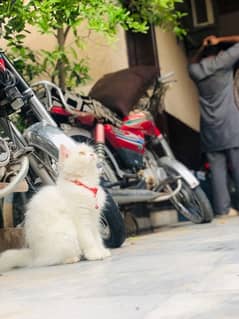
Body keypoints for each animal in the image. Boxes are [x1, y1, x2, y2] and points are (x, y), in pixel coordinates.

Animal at [0, 144, 111, 274]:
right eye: (82, 153)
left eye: (91, 151)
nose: (93, 155)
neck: (86, 185)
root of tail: (35, 255)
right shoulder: (82, 222)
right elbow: (89, 240)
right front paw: (94, 254)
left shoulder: (94, 220)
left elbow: (97, 239)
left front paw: (102, 251)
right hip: (66, 235)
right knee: (55, 260)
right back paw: (72, 259)